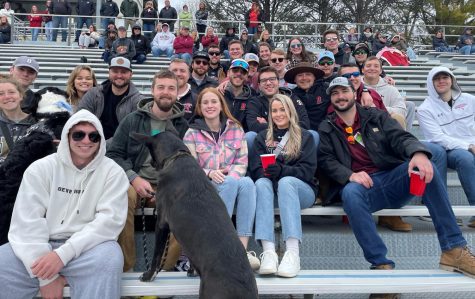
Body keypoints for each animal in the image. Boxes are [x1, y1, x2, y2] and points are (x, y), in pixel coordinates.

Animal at [136, 132, 258, 299]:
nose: (150, 163)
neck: (178, 156)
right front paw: (191, 270)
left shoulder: (161, 222)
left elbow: (157, 255)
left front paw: (148, 276)